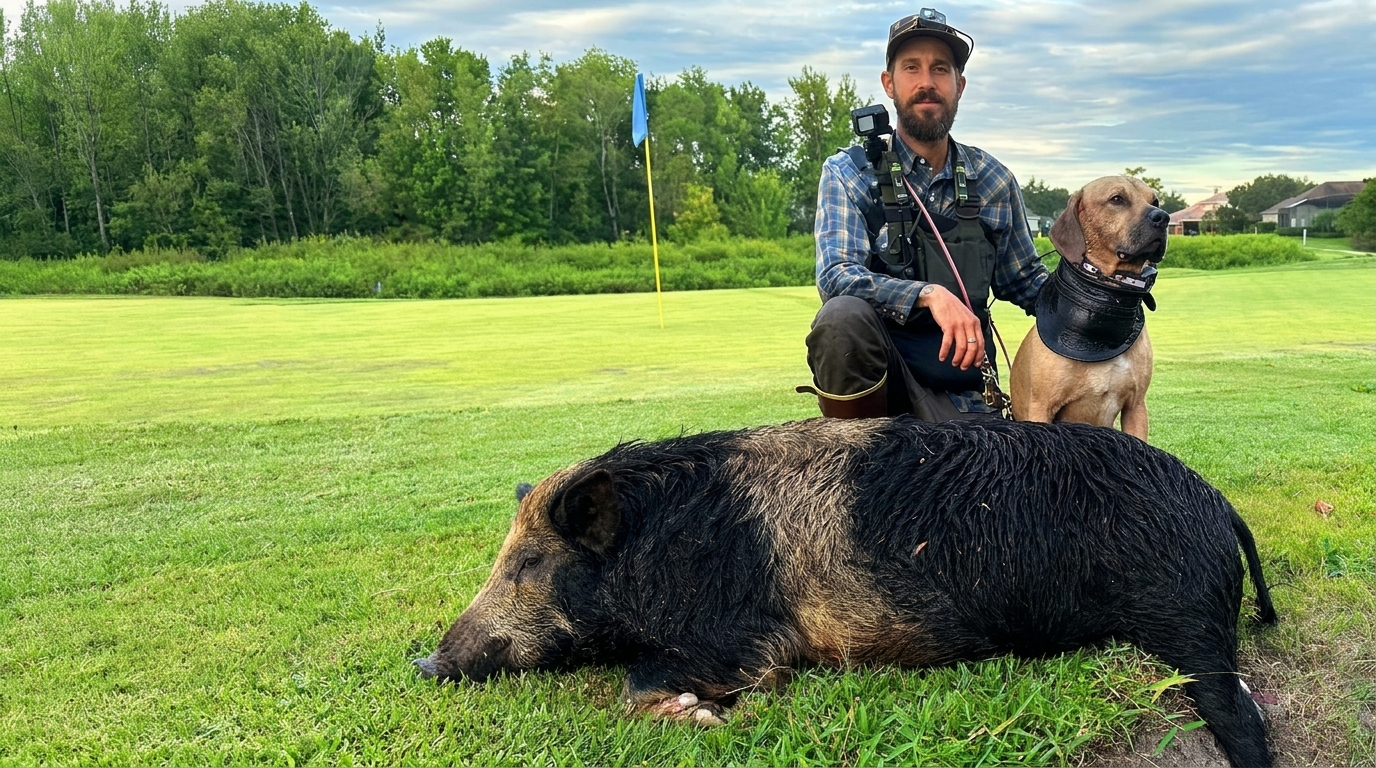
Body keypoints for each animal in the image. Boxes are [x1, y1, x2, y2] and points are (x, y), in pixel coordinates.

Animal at [415, 417, 1276, 767]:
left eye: (527, 564)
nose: (426, 663)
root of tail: (1215, 502)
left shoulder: (744, 632)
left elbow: (642, 684)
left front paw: (701, 717)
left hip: (1185, 614)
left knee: (1241, 712)